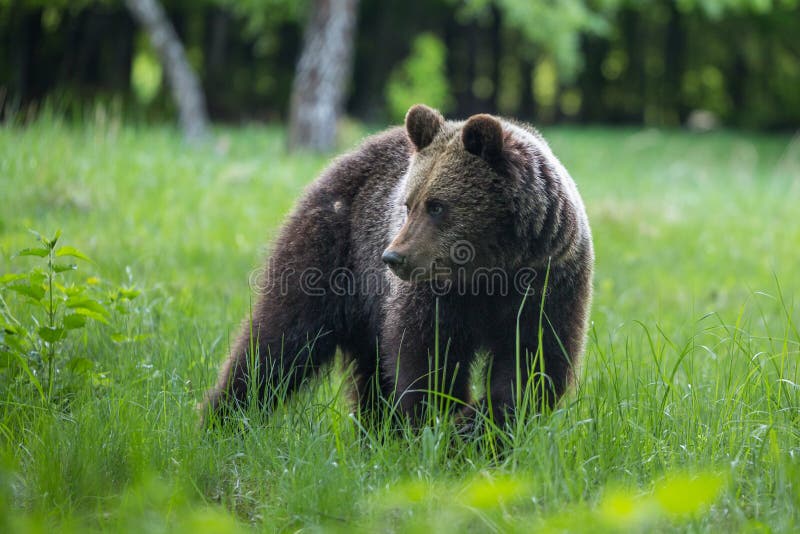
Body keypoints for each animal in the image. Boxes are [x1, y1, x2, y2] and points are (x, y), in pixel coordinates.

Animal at [203, 104, 592, 432]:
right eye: (409, 204)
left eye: (437, 206)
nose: (393, 257)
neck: (491, 272)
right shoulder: (436, 295)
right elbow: (427, 360)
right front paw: (439, 425)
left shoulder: (548, 285)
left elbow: (533, 365)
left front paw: (479, 427)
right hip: (333, 250)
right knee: (280, 338)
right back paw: (223, 417)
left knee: (369, 370)